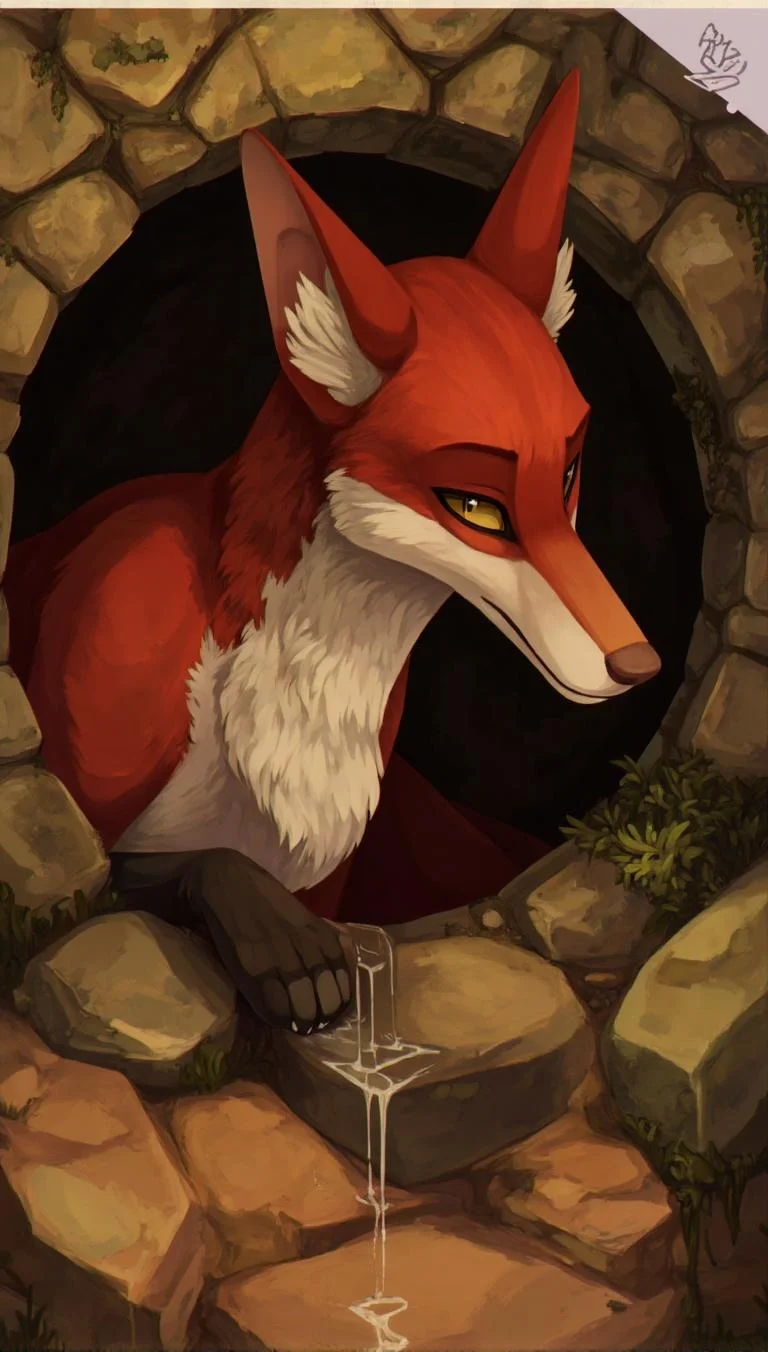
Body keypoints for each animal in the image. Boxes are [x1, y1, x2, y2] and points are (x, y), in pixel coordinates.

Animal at [5, 70, 660, 1038]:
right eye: (476, 506)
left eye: (571, 472)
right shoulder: (105, 737)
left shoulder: (333, 867)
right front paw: (283, 949)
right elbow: (176, 866)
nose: (641, 663)